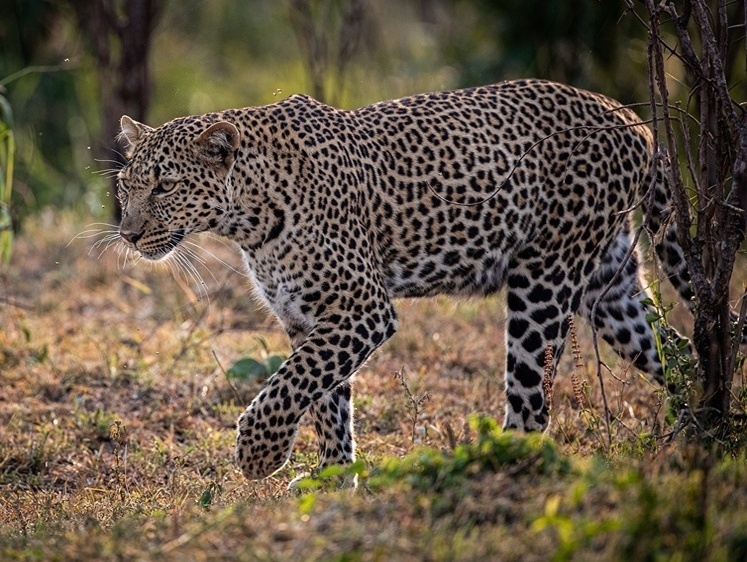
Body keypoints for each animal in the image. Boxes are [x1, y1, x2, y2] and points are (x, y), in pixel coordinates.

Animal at [115, 79, 708, 480]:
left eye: (165, 185)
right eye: (125, 185)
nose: (127, 232)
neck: (247, 216)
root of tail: (632, 119)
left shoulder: (361, 307)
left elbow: (290, 384)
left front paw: (259, 454)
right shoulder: (308, 317)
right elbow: (326, 402)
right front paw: (335, 485)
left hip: (544, 279)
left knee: (531, 403)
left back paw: (494, 466)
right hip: (610, 286)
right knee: (678, 348)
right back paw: (699, 429)